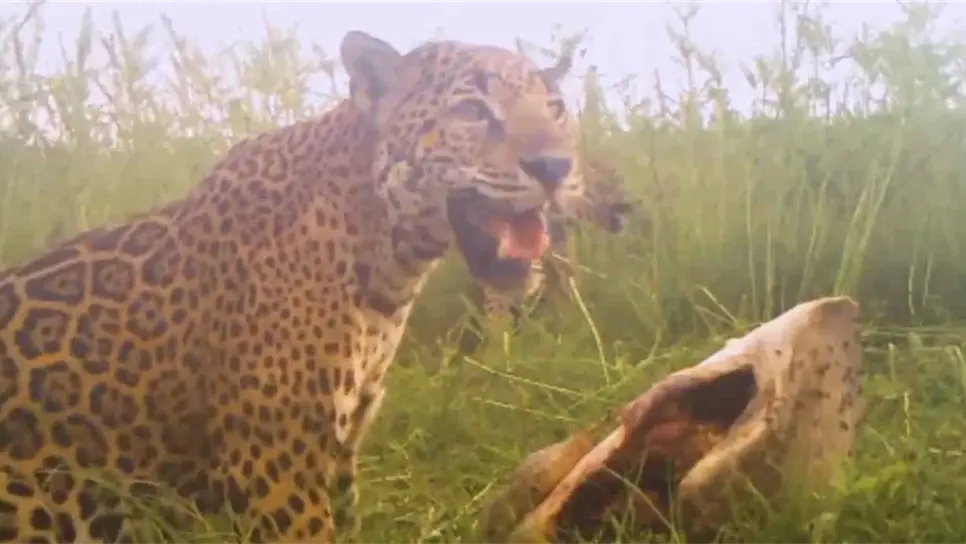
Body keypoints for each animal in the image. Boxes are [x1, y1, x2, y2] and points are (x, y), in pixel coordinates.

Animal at [0, 30, 586, 543]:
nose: (557, 167)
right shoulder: (277, 464)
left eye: (556, 109)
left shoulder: (340, 451)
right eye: (472, 111)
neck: (387, 266)